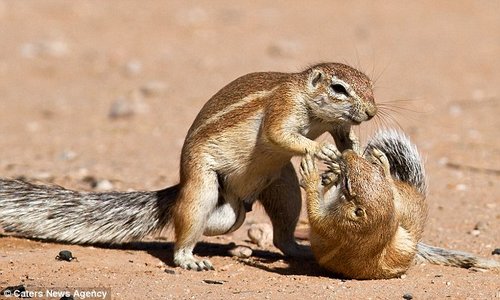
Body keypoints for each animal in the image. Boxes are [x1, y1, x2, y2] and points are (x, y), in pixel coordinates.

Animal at [0, 62, 376, 270]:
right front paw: (321, 149)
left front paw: (355, 151)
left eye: (371, 86)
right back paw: (187, 258)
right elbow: (278, 133)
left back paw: (299, 248)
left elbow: (344, 138)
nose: (371, 112)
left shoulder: (336, 124)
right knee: (189, 223)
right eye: (339, 88)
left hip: (278, 189)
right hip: (202, 185)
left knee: (267, 230)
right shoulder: (282, 106)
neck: (310, 104)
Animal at [298, 130, 498, 280]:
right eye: (369, 168)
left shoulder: (332, 225)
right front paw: (333, 171)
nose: (347, 153)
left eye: (348, 185)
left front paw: (311, 176)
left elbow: (315, 214)